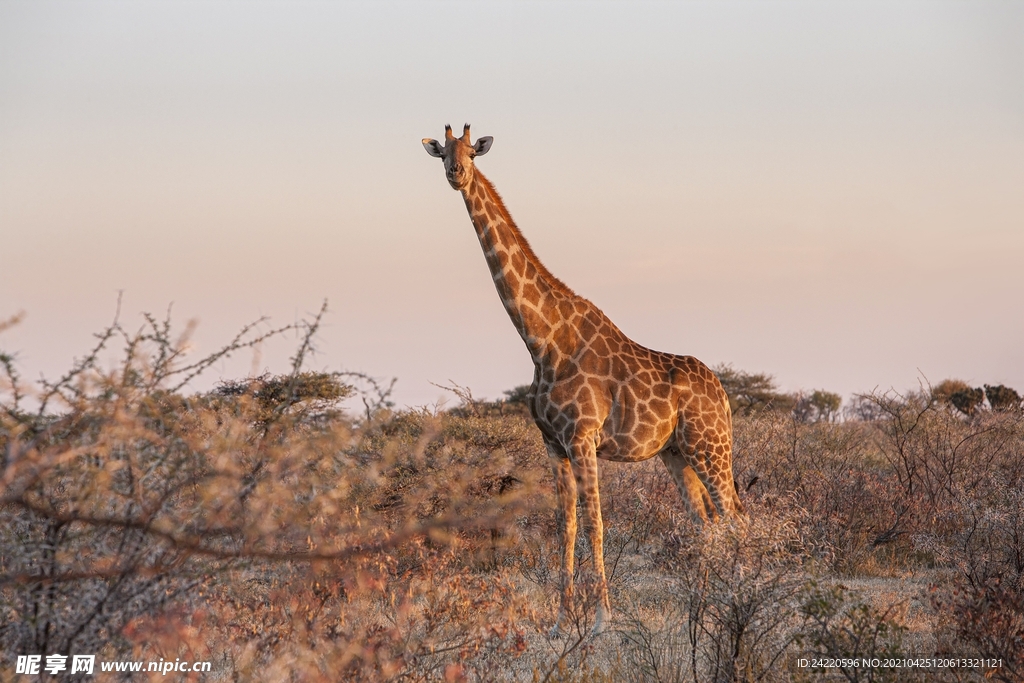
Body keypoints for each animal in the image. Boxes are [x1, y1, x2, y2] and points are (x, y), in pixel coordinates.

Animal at [419, 122, 741, 634]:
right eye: (442, 152)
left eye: (471, 151)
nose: (457, 174)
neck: (542, 339)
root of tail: (724, 395)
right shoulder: (553, 442)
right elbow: (564, 523)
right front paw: (561, 618)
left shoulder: (583, 437)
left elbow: (595, 522)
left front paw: (601, 618)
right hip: (677, 453)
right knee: (706, 521)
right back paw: (706, 608)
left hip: (711, 447)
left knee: (734, 517)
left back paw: (741, 598)